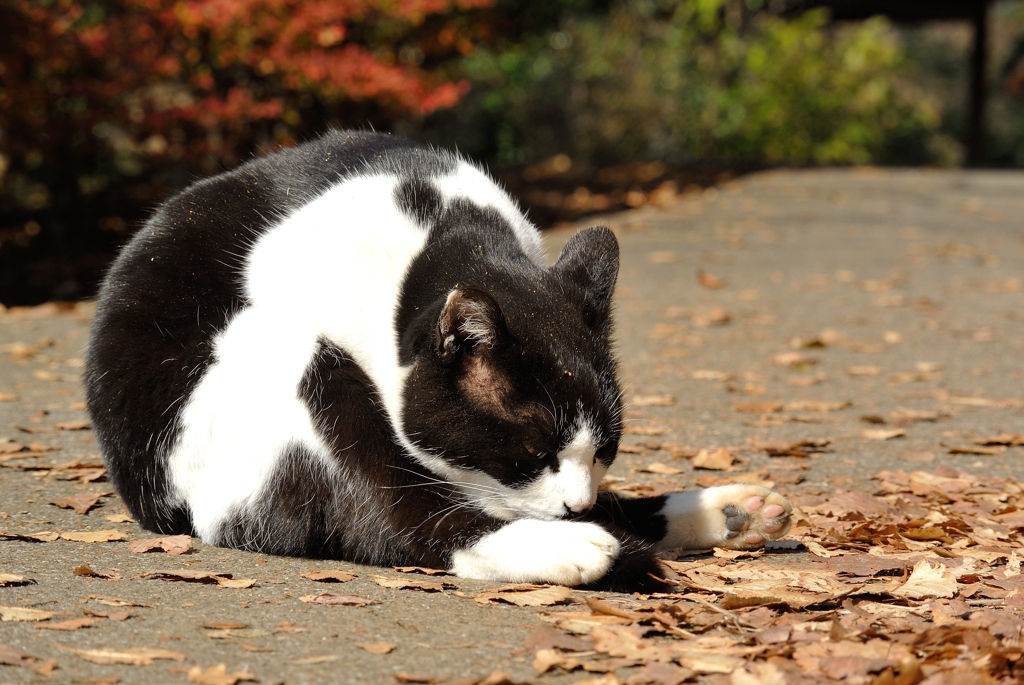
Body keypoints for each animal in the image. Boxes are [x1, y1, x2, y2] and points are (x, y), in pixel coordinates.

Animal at [88, 129, 790, 589]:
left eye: (607, 451)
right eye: (530, 454)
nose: (575, 505)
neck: (447, 228)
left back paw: (723, 512)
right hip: (272, 363)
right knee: (394, 513)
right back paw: (574, 546)